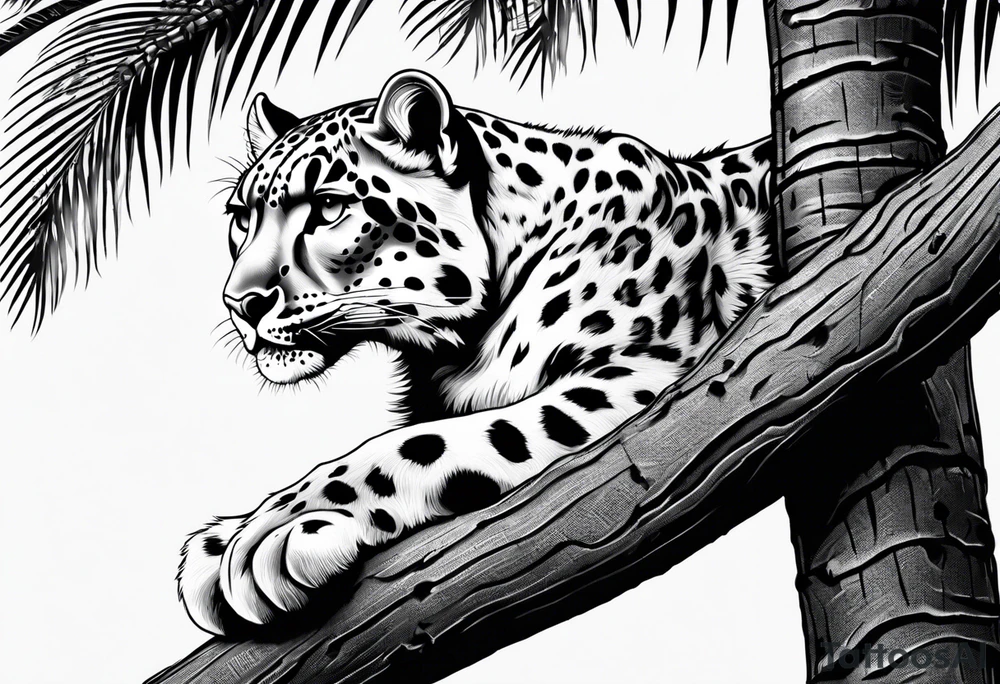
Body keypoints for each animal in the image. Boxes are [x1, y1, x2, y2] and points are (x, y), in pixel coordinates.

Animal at [178, 69, 776, 635]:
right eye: (241, 218)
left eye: (328, 207)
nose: (241, 303)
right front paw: (222, 540)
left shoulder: (644, 374)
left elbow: (418, 444)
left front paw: (261, 537)